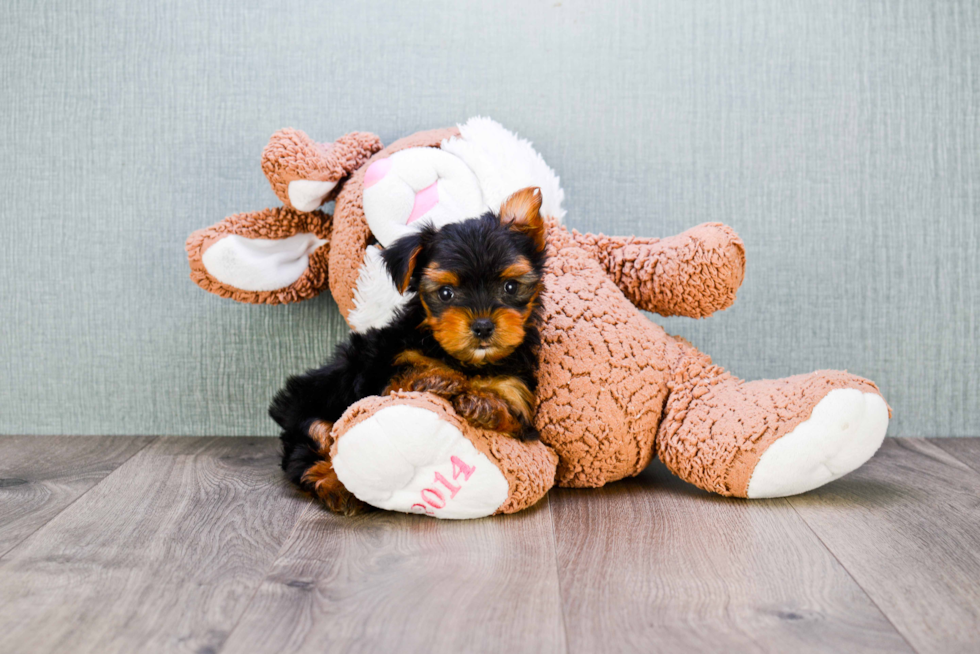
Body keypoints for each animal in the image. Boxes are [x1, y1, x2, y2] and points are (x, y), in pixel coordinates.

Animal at [272, 187, 548, 516]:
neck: (465, 362)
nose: (482, 326)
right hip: (310, 409)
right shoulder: (388, 366)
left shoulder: (518, 391)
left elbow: (513, 413)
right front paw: (436, 379)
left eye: (510, 287)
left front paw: (485, 405)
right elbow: (402, 377)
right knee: (309, 449)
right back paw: (333, 485)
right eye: (446, 293)